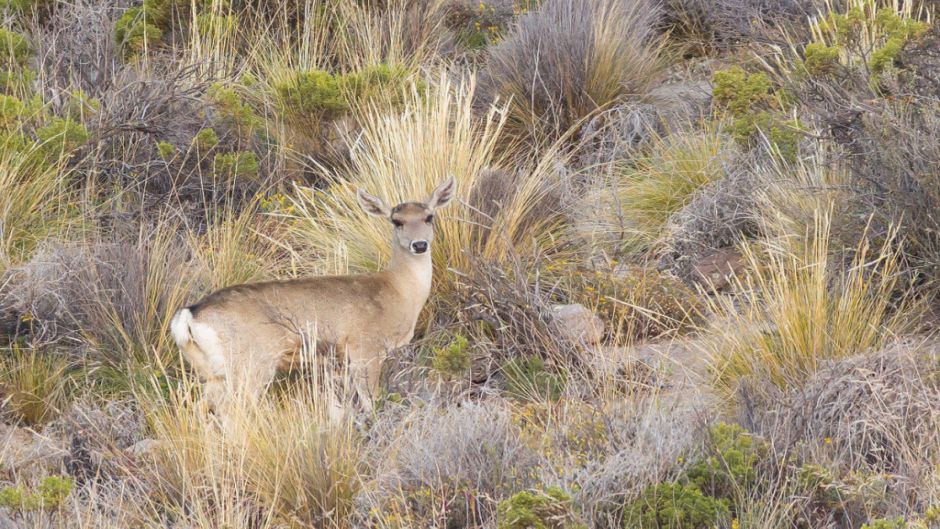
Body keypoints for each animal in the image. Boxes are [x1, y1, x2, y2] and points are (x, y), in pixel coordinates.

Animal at [173, 179, 458, 414]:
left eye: (429, 217)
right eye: (396, 221)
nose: (419, 245)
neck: (399, 291)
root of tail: (190, 314)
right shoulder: (364, 347)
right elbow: (371, 401)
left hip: (212, 371)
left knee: (200, 408)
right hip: (250, 364)